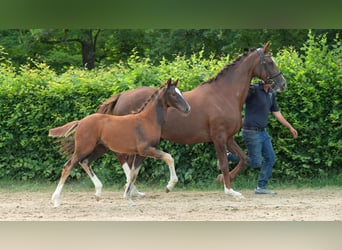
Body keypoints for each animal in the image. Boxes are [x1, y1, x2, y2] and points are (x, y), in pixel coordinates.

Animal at [49, 79, 191, 206]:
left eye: (180, 92)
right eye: (173, 94)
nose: (188, 108)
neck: (147, 121)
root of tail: (80, 122)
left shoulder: (140, 154)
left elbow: (133, 174)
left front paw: (129, 199)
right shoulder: (146, 149)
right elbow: (169, 157)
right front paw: (169, 186)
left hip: (99, 149)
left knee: (85, 162)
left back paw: (98, 193)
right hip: (83, 148)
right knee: (68, 166)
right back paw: (55, 200)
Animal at [98, 42, 286, 198]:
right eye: (269, 62)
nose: (282, 84)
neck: (224, 94)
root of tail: (121, 96)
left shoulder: (229, 138)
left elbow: (243, 159)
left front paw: (220, 179)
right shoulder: (219, 138)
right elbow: (225, 163)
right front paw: (230, 190)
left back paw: (134, 191)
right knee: (124, 159)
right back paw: (134, 190)